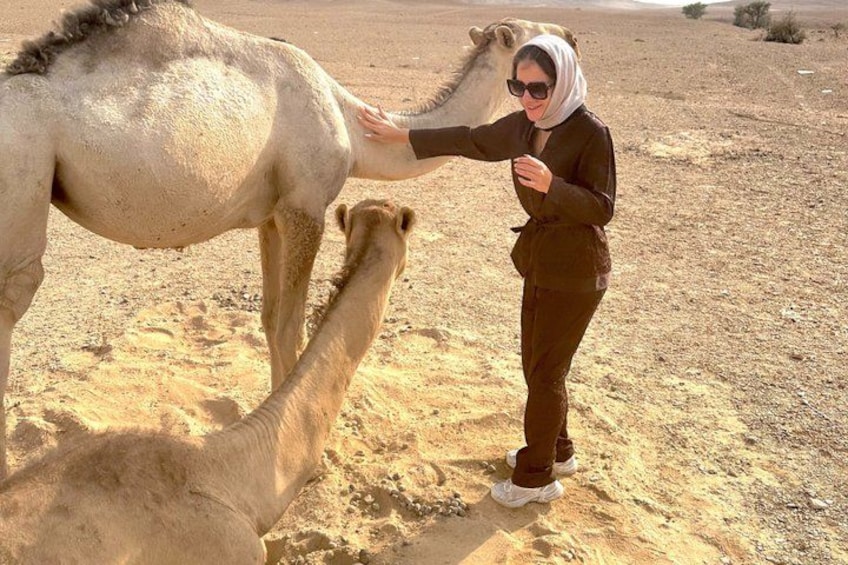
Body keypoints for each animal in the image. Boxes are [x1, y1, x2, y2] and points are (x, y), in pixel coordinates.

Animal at [0, 0, 578, 479]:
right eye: (536, 38)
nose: (573, 32)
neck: (351, 124)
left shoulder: (272, 216)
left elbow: (269, 316)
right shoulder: (307, 206)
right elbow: (291, 324)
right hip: (25, 167)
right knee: (17, 289)